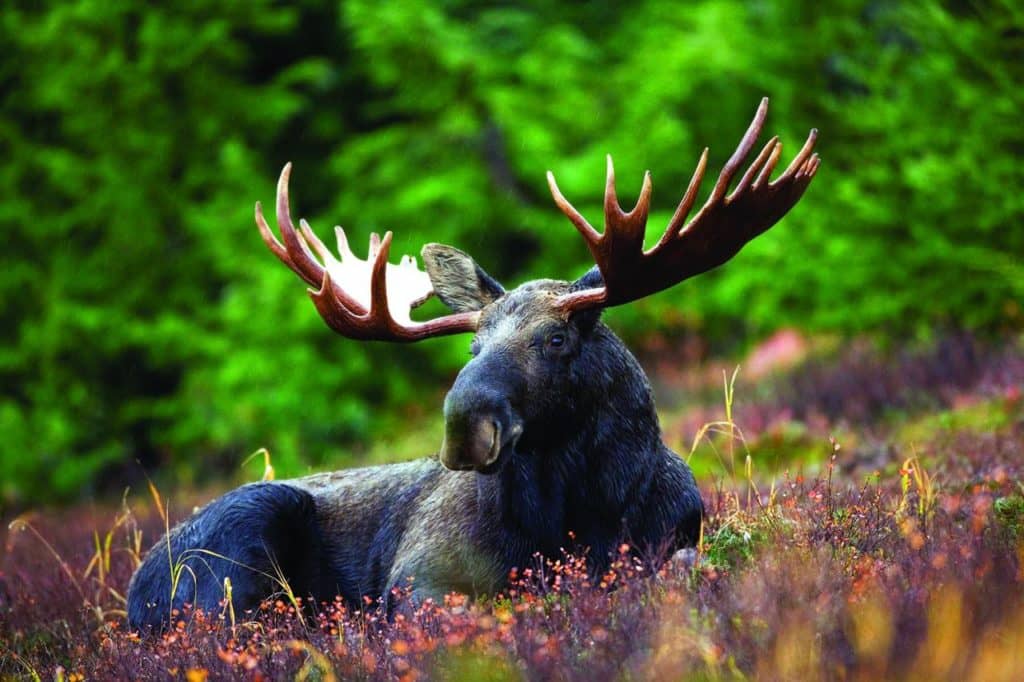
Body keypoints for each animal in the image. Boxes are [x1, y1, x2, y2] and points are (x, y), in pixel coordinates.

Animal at [128, 99, 819, 626]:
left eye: (556, 339)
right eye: (472, 346)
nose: (465, 426)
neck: (581, 511)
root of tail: (134, 593)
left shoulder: (675, 538)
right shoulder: (419, 577)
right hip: (238, 544)